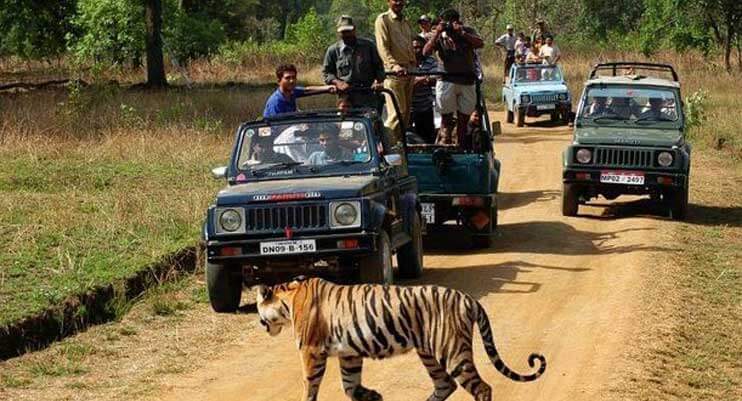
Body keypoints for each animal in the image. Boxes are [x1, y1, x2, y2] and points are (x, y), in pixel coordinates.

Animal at [258, 276, 548, 400]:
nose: (262, 325)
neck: (288, 298)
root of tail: (468, 298)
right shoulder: (349, 354)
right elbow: (350, 385)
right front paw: (372, 396)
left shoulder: (311, 351)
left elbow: (310, 385)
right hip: (429, 353)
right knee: (445, 385)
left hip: (453, 352)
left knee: (482, 388)